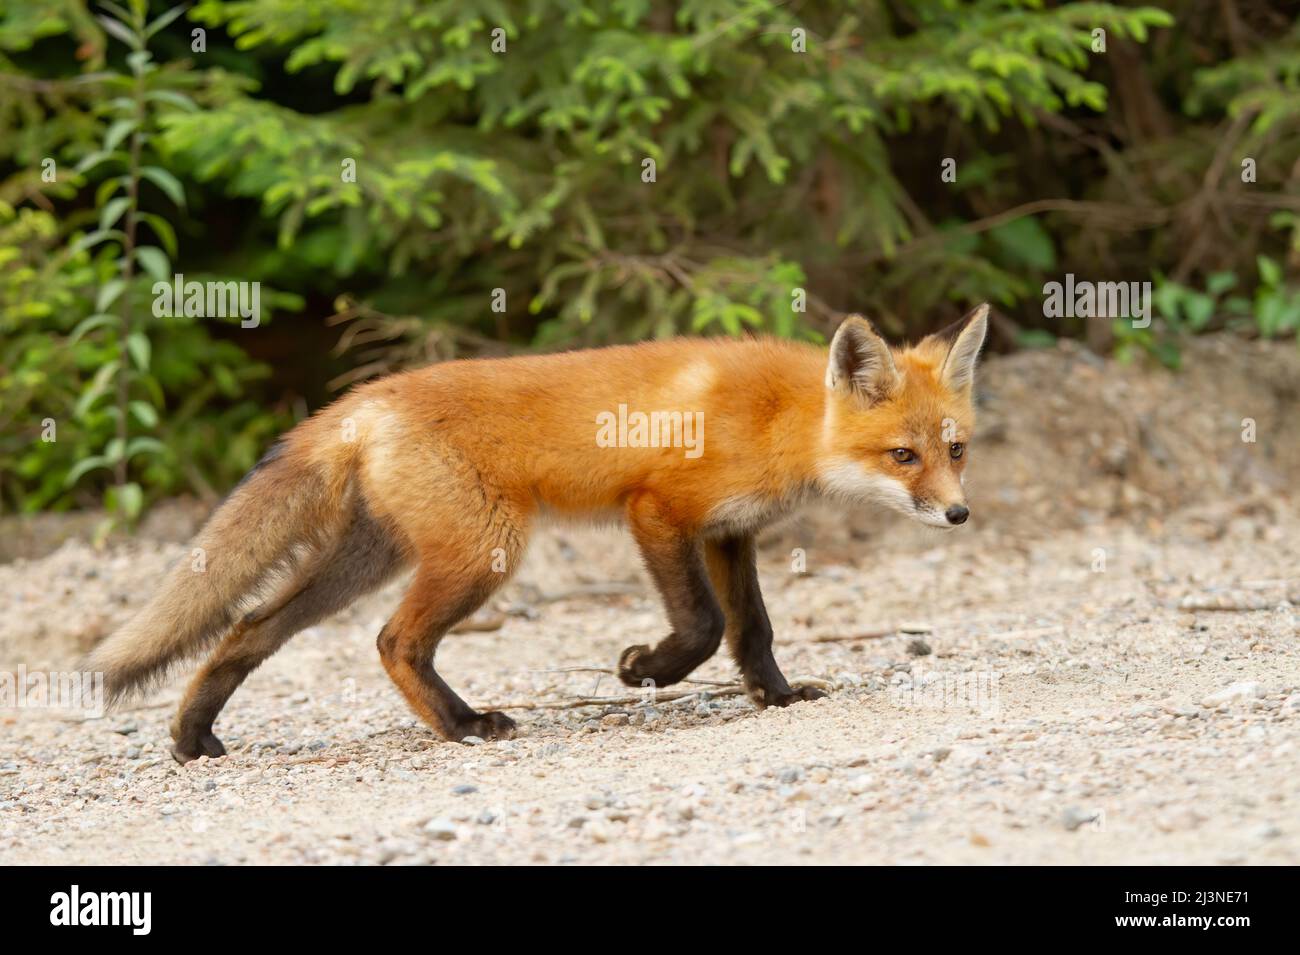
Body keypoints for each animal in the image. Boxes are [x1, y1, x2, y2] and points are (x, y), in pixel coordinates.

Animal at [83, 304, 988, 763]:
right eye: (902, 454)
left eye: (955, 450)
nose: (958, 514)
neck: (780, 421)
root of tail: (362, 399)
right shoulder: (657, 509)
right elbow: (700, 626)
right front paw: (643, 670)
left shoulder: (731, 532)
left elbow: (752, 630)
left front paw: (777, 695)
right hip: (484, 553)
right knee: (393, 640)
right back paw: (462, 726)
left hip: (370, 558)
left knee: (247, 627)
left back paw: (192, 735)